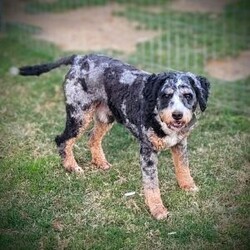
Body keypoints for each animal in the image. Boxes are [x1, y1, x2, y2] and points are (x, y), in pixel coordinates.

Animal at [19, 54, 210, 219]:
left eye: (188, 96)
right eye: (166, 95)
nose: (177, 115)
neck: (159, 116)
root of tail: (79, 57)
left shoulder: (180, 144)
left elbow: (183, 167)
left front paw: (188, 186)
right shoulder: (147, 153)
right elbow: (152, 185)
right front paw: (158, 210)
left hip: (105, 116)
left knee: (92, 139)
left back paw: (100, 162)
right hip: (79, 115)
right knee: (62, 140)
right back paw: (72, 167)